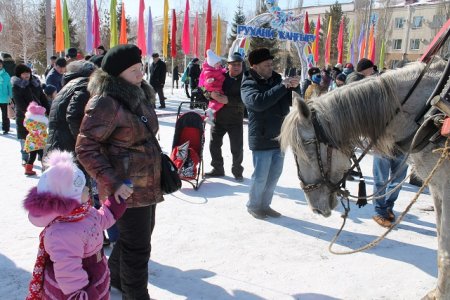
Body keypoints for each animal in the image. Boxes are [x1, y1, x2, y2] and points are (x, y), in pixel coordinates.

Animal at [280, 58, 450, 298]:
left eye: (307, 149)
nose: (315, 207)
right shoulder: (436, 185)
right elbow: (442, 244)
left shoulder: (445, 187)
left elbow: (446, 253)